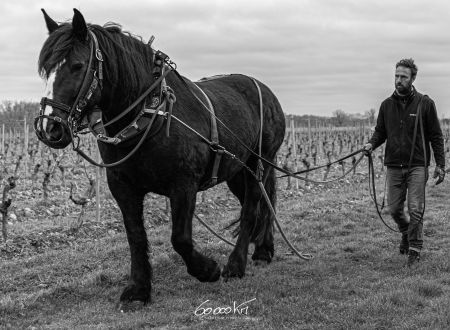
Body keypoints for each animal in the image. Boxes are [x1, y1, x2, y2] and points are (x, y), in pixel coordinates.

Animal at [37, 7, 286, 306]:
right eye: (46, 70)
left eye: (77, 65)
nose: (50, 128)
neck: (150, 115)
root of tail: (264, 89)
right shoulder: (122, 186)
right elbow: (135, 236)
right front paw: (138, 289)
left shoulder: (184, 185)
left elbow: (180, 238)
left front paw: (208, 270)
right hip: (236, 171)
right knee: (261, 205)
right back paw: (263, 250)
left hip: (258, 163)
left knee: (252, 207)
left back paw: (236, 264)